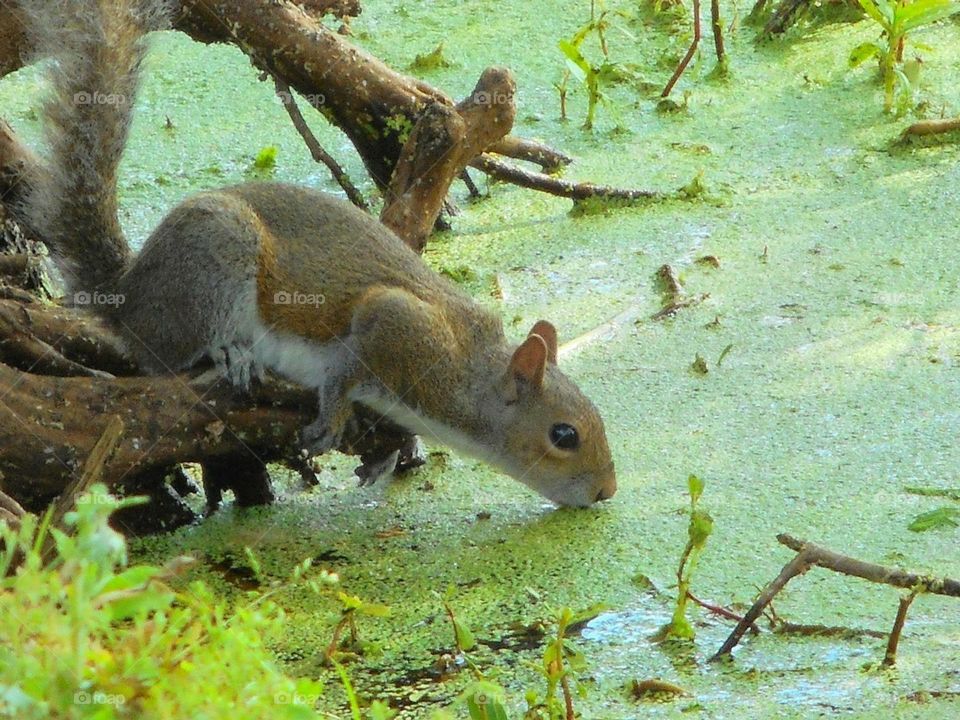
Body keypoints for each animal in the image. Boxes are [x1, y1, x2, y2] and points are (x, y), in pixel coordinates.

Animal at [18, 0, 620, 506]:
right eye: (563, 434)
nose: (606, 492)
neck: (468, 373)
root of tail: (128, 295)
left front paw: (390, 453)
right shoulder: (396, 326)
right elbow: (346, 365)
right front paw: (334, 416)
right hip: (215, 262)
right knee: (165, 357)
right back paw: (227, 355)